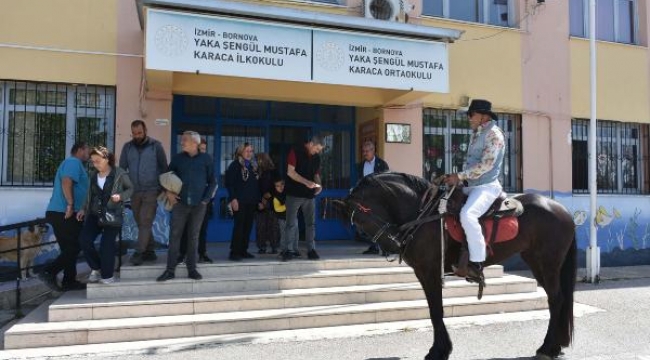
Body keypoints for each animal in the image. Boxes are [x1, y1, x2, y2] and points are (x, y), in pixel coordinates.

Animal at [336, 172, 576, 360]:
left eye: (362, 218)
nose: (393, 244)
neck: (424, 215)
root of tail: (561, 209)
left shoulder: (431, 271)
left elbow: (436, 310)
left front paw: (438, 351)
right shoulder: (423, 273)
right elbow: (433, 310)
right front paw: (442, 349)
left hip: (548, 263)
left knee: (556, 299)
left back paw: (547, 348)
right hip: (536, 261)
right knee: (557, 299)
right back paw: (555, 346)